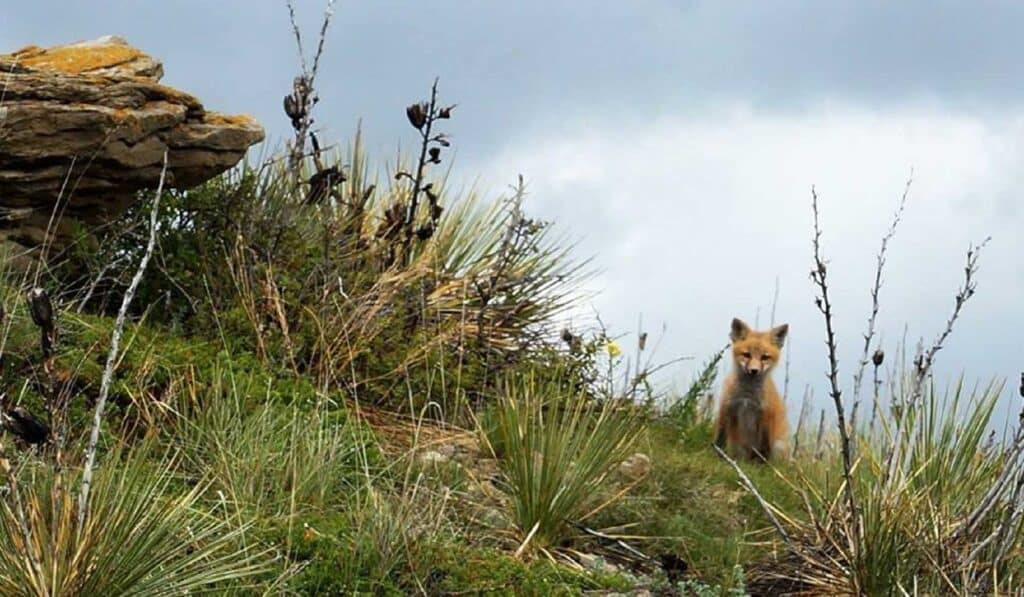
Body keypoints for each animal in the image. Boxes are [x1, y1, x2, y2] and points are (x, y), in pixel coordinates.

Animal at [714, 318, 789, 462]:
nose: (754, 371)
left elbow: (763, 447)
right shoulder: (727, 407)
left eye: (765, 357)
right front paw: (717, 455)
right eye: (746, 355)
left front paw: (760, 464)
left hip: (778, 445)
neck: (747, 396)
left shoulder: (765, 414)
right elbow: (721, 437)